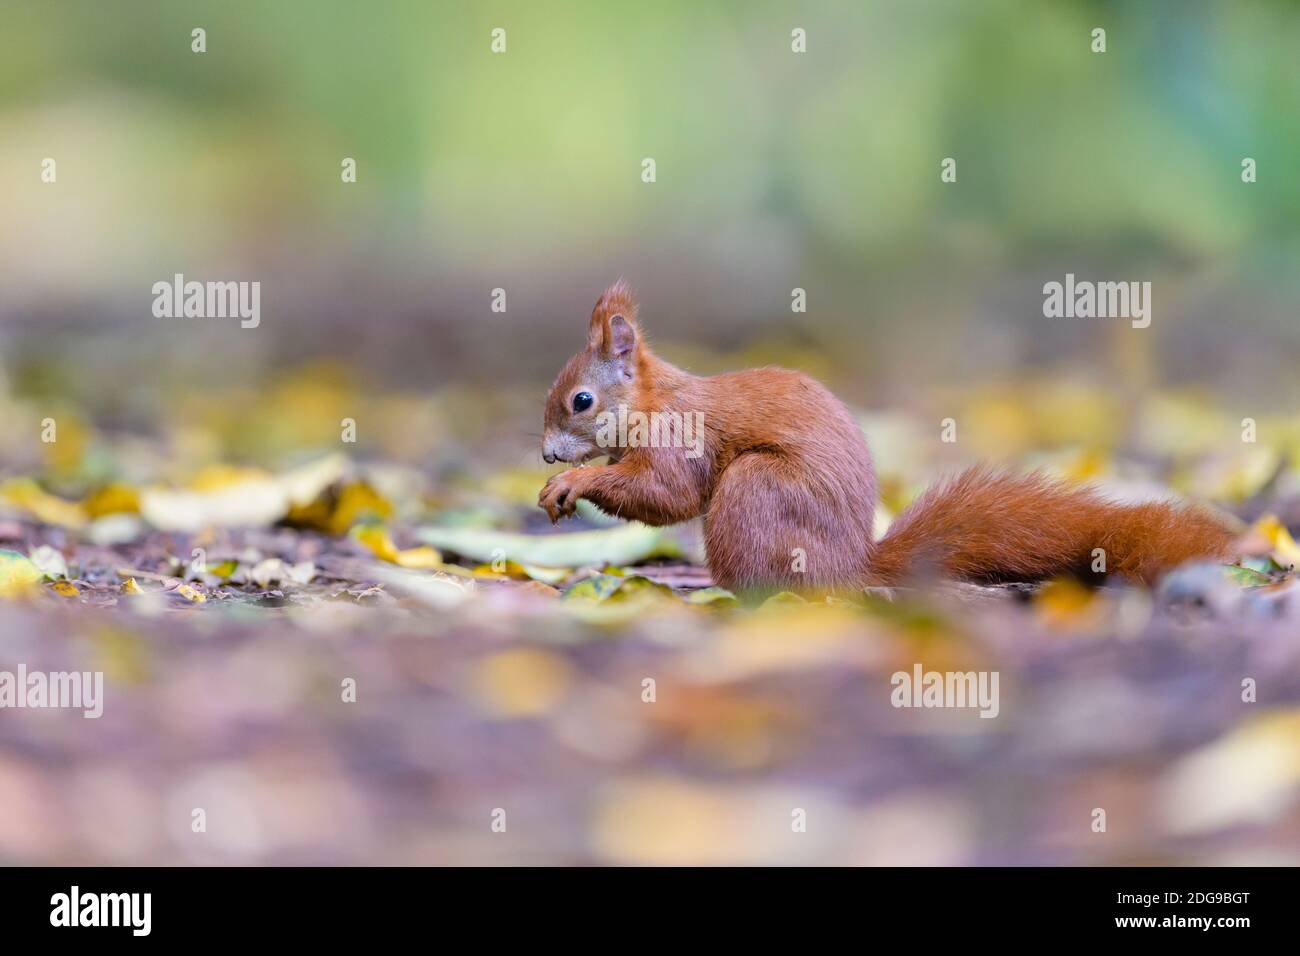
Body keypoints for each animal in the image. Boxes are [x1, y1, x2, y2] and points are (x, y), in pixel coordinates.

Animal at [538, 280, 1238, 596]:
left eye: (581, 401)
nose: (545, 454)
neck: (654, 400)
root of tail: (852, 563)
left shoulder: (677, 438)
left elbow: (667, 494)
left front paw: (574, 480)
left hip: (756, 492)